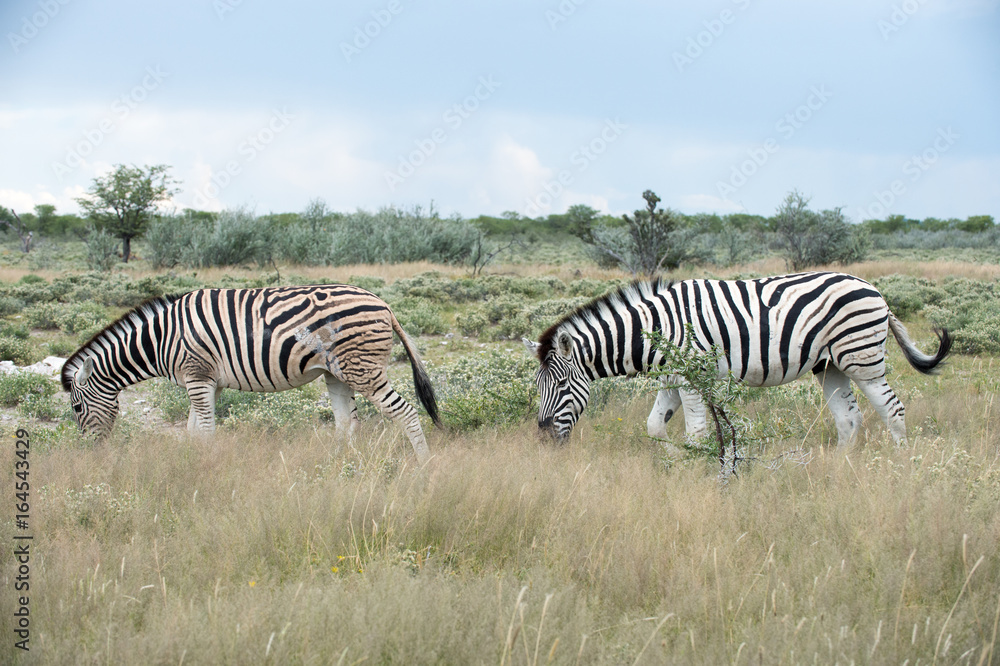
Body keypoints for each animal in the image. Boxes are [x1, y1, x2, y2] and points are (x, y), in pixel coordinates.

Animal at [61, 285, 442, 462]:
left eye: (77, 408)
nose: (91, 450)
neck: (160, 339)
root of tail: (384, 303)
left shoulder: (197, 376)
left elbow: (205, 430)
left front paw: (206, 466)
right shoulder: (205, 381)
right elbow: (193, 430)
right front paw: (191, 461)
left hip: (362, 370)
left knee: (405, 412)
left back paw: (423, 466)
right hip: (336, 373)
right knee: (346, 423)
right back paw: (336, 466)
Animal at [522, 272, 952, 447]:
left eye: (562, 384)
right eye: (538, 386)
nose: (543, 438)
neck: (655, 330)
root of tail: (875, 289)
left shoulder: (691, 374)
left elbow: (696, 432)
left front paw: (696, 471)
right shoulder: (671, 379)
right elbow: (655, 427)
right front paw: (671, 465)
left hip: (862, 357)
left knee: (892, 409)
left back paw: (900, 466)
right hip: (829, 365)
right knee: (849, 419)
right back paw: (840, 469)